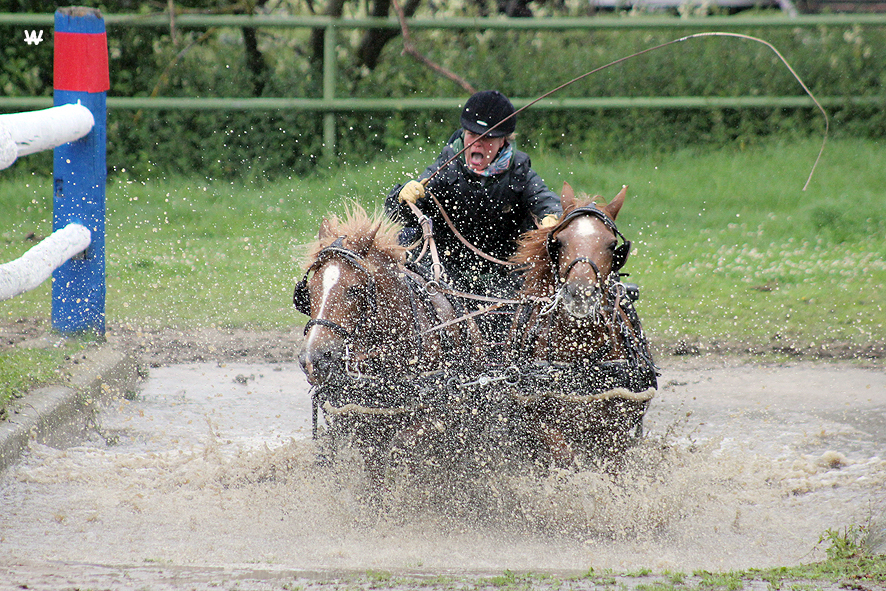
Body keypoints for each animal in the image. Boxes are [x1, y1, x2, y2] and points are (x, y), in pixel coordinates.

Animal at [506, 183, 660, 470]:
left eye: (612, 245)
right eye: (559, 242)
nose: (580, 293)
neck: (582, 353)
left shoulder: (617, 426)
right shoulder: (539, 419)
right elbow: (565, 458)